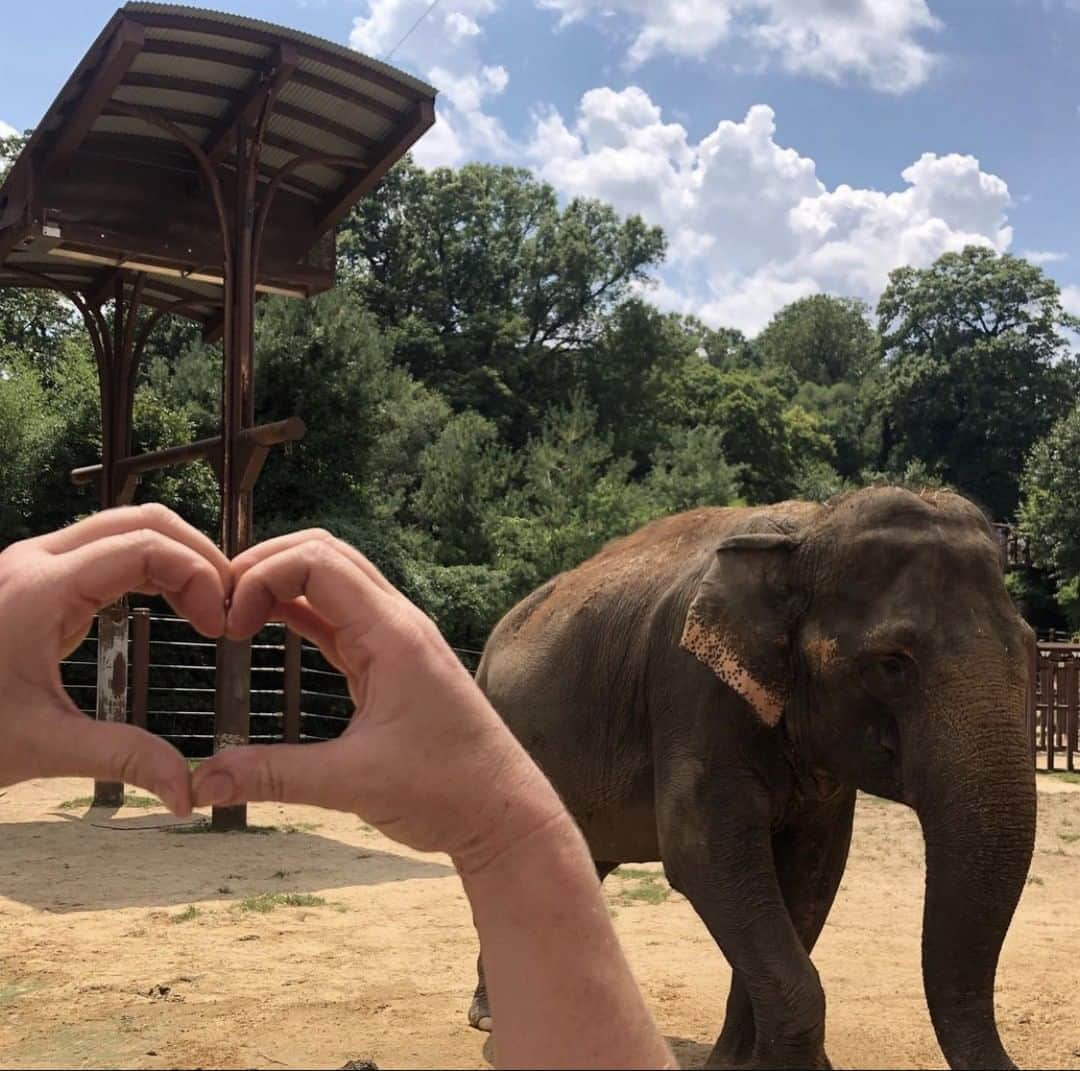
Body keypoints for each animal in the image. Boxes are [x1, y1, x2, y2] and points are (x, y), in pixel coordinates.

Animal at [466, 490, 1036, 1071]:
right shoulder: (692, 688)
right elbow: (703, 853)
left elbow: (812, 872)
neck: (807, 529)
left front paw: (742, 1063)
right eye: (892, 664)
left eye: (1031, 646)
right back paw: (493, 1020)